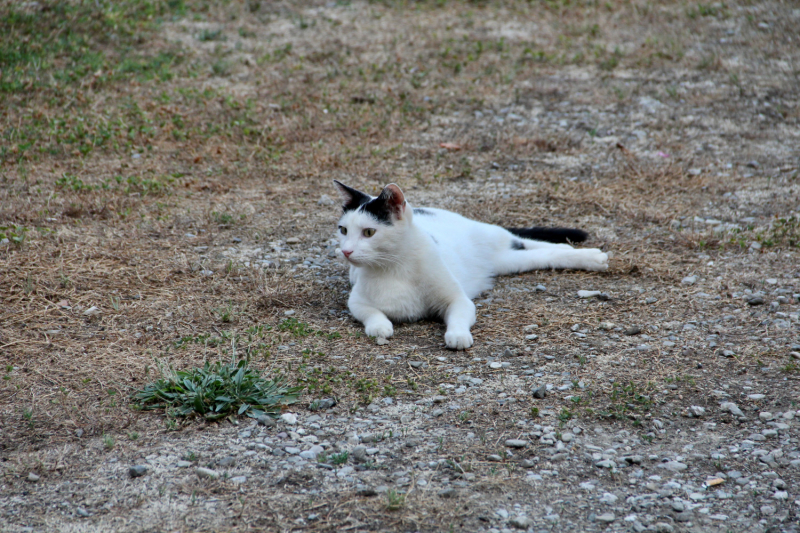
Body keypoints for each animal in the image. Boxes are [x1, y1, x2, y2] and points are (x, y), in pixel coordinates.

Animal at [332, 181, 608, 352]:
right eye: (343, 230)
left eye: (369, 232)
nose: (346, 250)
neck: (394, 266)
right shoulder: (356, 300)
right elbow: (370, 313)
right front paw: (380, 326)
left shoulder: (458, 299)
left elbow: (459, 314)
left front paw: (457, 335)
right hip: (507, 262)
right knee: (538, 253)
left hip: (493, 238)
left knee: (525, 241)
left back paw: (589, 256)